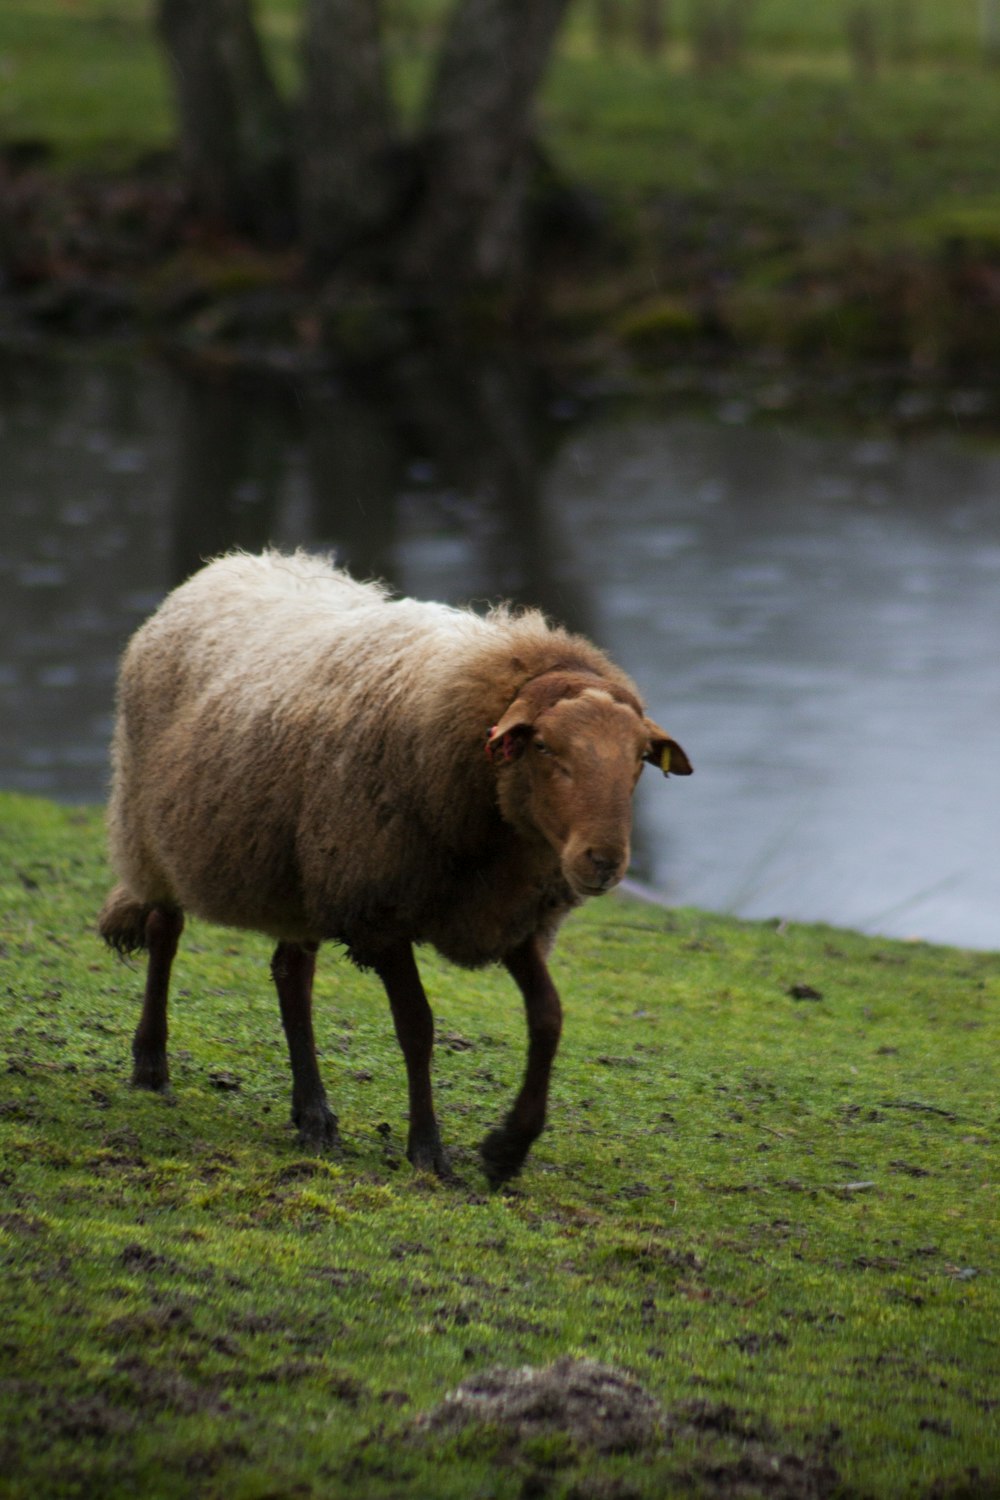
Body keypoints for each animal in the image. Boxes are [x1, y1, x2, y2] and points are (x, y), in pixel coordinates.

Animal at [99, 552, 695, 1182]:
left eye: (639, 760)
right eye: (543, 748)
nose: (603, 861)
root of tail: (235, 561)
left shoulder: (509, 916)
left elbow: (548, 1018)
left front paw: (508, 1147)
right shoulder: (378, 911)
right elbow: (417, 1026)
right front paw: (428, 1150)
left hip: (300, 874)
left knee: (291, 975)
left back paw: (313, 1115)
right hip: (150, 834)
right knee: (165, 933)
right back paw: (152, 1064)